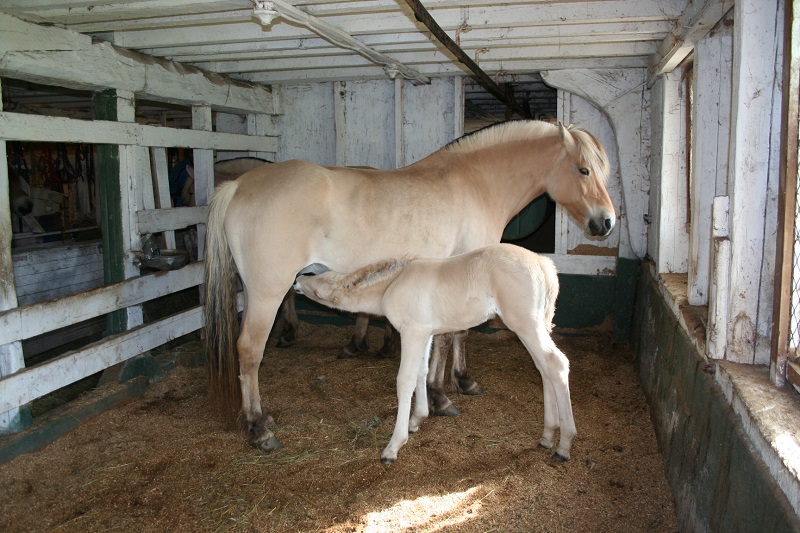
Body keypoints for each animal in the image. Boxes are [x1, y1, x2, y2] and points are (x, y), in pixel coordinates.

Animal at [293, 243, 575, 464]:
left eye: (316, 286)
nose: (295, 281)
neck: (393, 284)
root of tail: (544, 265)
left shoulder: (412, 332)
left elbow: (405, 381)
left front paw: (393, 446)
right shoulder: (425, 333)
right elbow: (423, 372)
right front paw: (417, 420)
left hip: (524, 324)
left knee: (556, 365)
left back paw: (563, 446)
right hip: (535, 325)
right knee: (544, 368)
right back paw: (548, 435)